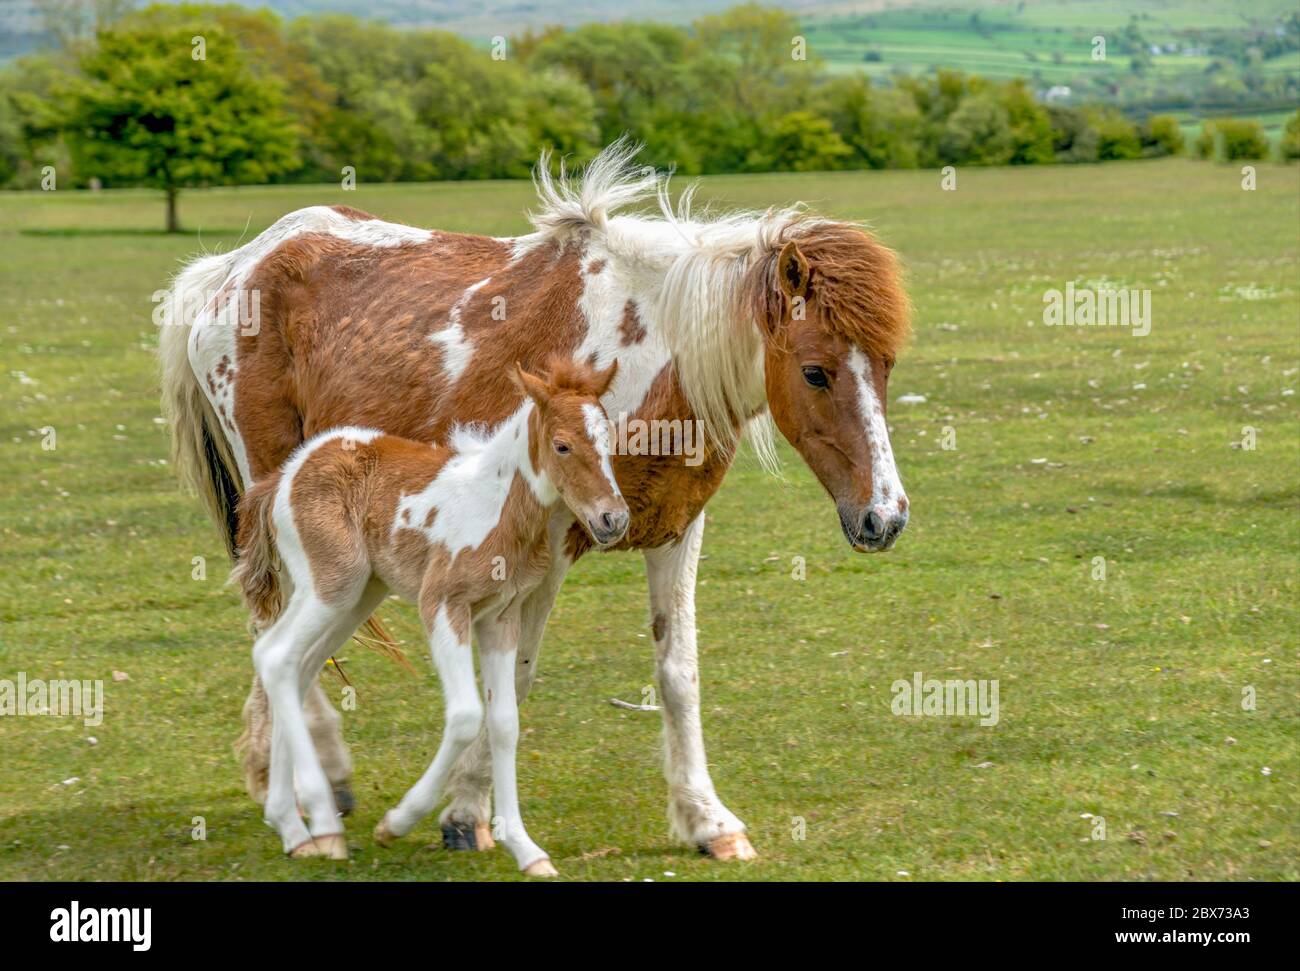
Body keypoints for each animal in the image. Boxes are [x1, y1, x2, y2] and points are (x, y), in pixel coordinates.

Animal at [232, 358, 624, 874]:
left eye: (610, 439)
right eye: (562, 445)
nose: (613, 520)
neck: (498, 508)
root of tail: (282, 477)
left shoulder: (501, 618)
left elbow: (504, 722)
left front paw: (525, 848)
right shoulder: (442, 603)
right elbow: (466, 714)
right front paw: (395, 823)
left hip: (356, 596)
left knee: (295, 667)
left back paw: (293, 829)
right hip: (331, 586)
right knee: (276, 657)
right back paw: (321, 823)